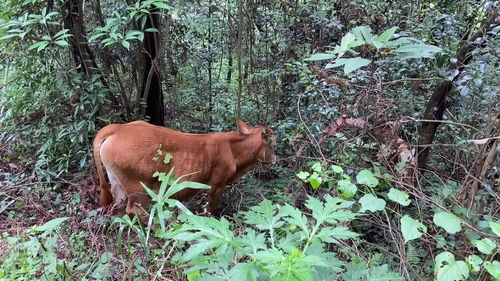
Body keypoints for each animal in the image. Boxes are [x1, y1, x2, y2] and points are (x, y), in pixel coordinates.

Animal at [92, 119, 276, 215]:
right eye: (273, 144)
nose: (275, 158)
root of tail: (117, 128)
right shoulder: (217, 185)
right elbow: (212, 209)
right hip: (138, 187)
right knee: (135, 210)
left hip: (116, 181)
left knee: (119, 203)